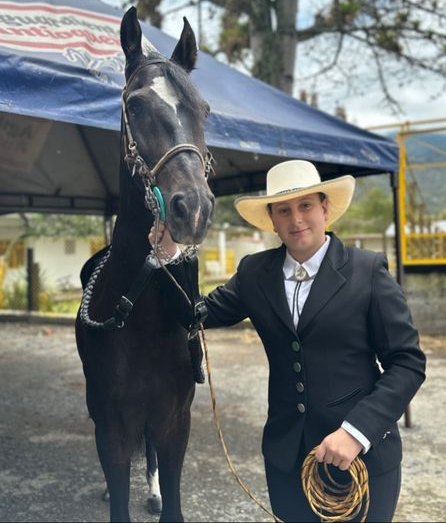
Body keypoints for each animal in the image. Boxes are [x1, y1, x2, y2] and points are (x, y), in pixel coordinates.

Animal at [75, 8, 214, 523]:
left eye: (204, 110)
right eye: (134, 106)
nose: (193, 209)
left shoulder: (175, 421)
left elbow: (171, 493)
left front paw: (159, 495)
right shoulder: (111, 426)